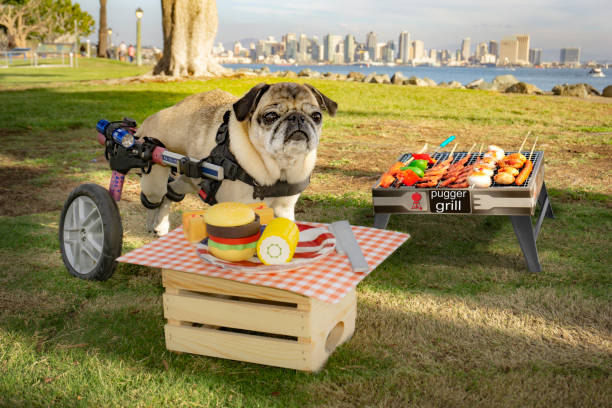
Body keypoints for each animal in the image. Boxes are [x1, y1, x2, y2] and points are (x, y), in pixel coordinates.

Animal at [136, 82, 338, 236]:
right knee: (155, 198)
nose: (297, 118)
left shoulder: (285, 209)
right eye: (270, 116)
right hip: (154, 180)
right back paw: (155, 224)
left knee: (170, 192)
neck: (280, 165)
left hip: (191, 179)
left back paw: (158, 225)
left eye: (316, 116)